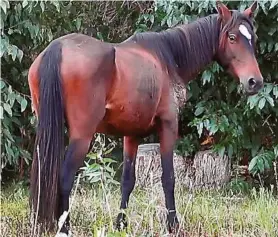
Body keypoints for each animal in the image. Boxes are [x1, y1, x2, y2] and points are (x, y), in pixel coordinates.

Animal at [28, 0, 262, 236]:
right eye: (232, 37)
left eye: (253, 37)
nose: (255, 82)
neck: (169, 58)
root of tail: (57, 48)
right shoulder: (168, 126)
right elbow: (168, 178)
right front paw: (173, 224)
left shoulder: (132, 134)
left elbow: (127, 181)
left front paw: (121, 224)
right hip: (82, 136)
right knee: (64, 178)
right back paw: (64, 227)